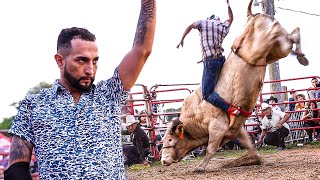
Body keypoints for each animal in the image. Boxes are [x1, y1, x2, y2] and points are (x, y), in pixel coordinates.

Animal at [161, 0, 308, 172]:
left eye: (169, 140)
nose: (163, 160)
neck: (196, 115)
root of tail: (252, 16)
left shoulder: (217, 128)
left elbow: (211, 149)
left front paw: (200, 167)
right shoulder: (236, 129)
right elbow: (248, 143)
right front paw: (253, 158)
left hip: (263, 43)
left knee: (284, 33)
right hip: (273, 52)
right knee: (290, 36)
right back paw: (301, 54)